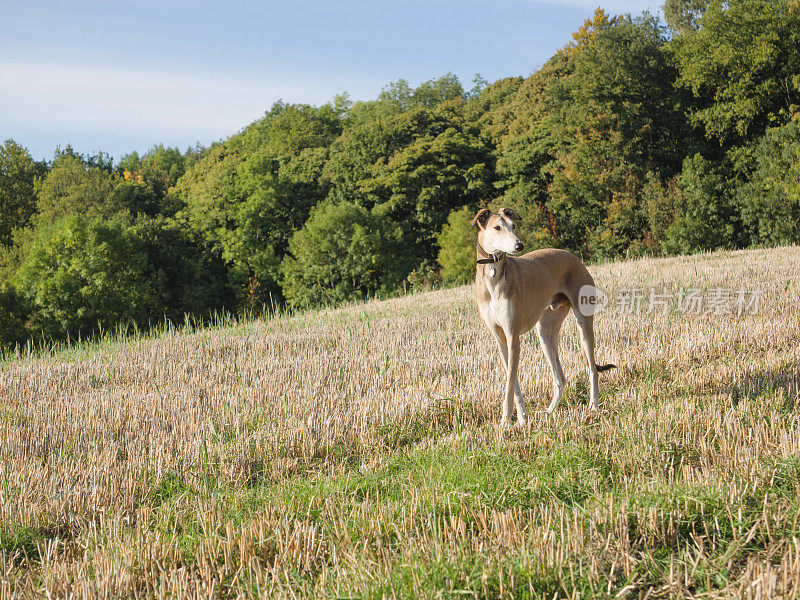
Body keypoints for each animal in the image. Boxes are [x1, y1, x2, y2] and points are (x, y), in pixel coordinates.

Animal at [472, 209, 616, 424]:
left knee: (592, 369)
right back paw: (549, 412)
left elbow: (509, 384)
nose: (519, 245)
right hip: (546, 332)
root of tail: (572, 256)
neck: (494, 276)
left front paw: (506, 421)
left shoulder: (513, 337)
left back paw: (594, 407)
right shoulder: (501, 339)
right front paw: (521, 418)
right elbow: (512, 382)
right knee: (560, 378)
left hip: (583, 323)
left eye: (513, 226)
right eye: (497, 227)